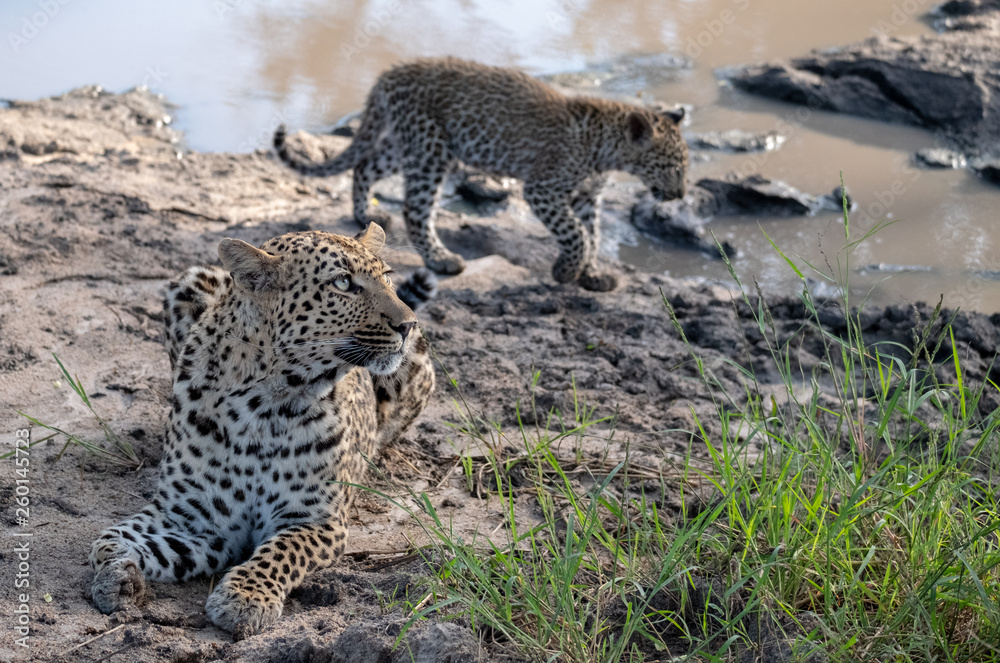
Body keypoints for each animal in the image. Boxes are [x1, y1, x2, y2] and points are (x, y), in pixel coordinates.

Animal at [89, 224, 436, 640]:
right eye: (342, 282)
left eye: (386, 278)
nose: (408, 324)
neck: (261, 405)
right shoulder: (193, 521)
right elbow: (107, 540)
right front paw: (118, 579)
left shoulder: (314, 519)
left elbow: (281, 551)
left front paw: (245, 597)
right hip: (192, 281)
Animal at [273, 56, 689, 293]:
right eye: (671, 166)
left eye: (684, 167)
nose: (681, 194)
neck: (609, 150)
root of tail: (390, 74)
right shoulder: (543, 189)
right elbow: (577, 234)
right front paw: (565, 271)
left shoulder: (588, 197)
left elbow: (593, 234)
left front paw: (591, 275)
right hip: (432, 150)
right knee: (416, 209)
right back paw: (442, 259)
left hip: (408, 145)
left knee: (365, 164)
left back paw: (365, 213)